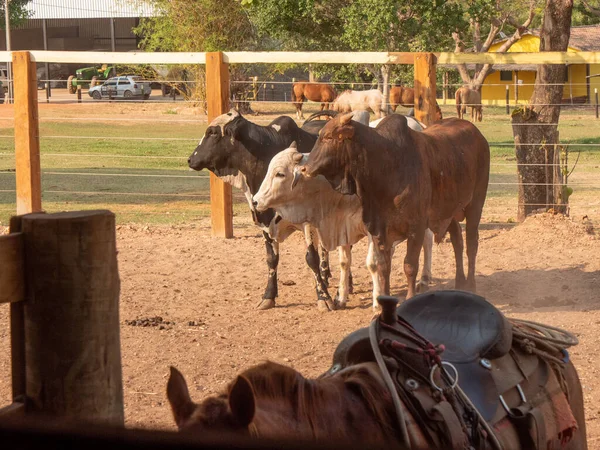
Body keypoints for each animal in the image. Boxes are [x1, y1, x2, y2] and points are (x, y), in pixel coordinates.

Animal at [188, 110, 336, 312]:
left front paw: (323, 298)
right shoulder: (264, 222)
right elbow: (271, 259)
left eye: (212, 132)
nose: (190, 159)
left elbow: (310, 258)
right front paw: (269, 296)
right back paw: (325, 275)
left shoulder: (306, 222)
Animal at [298, 114, 490, 300]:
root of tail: (478, 134)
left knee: (471, 243)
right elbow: (383, 266)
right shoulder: (379, 229)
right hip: (449, 211)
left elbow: (410, 265)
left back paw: (471, 285)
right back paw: (460, 282)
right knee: (458, 240)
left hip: (475, 204)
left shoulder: (416, 228)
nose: (304, 169)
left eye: (328, 137)